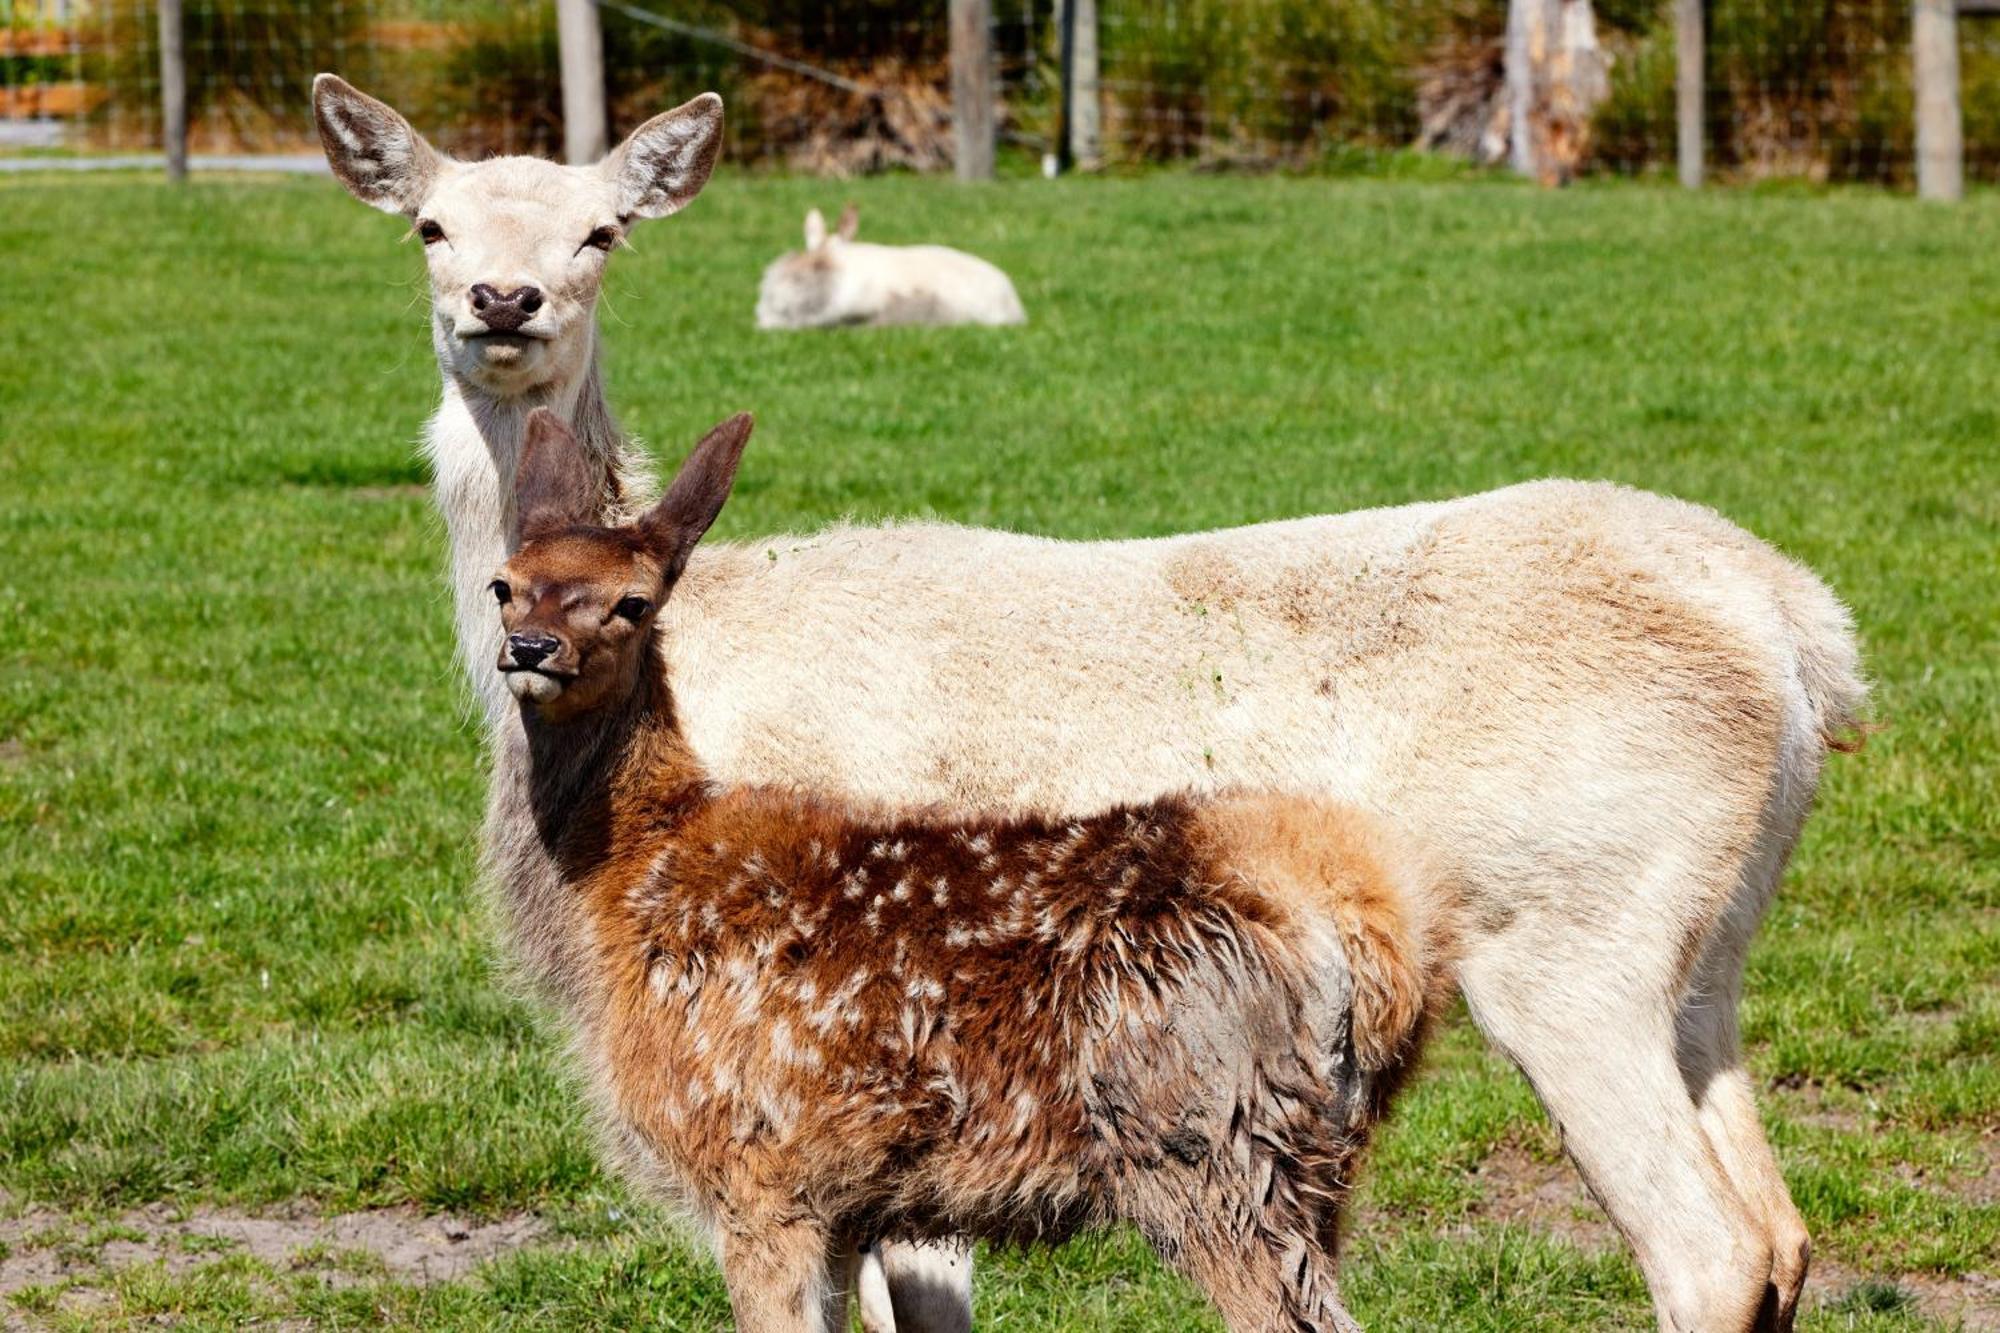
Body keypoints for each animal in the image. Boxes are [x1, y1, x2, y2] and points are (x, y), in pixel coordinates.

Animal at [312, 75, 1856, 1328]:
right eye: (430, 228)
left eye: (600, 233)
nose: (503, 308)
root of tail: (1803, 629)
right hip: (1705, 942)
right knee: (1781, 1230)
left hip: (1564, 932)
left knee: (1707, 1249)